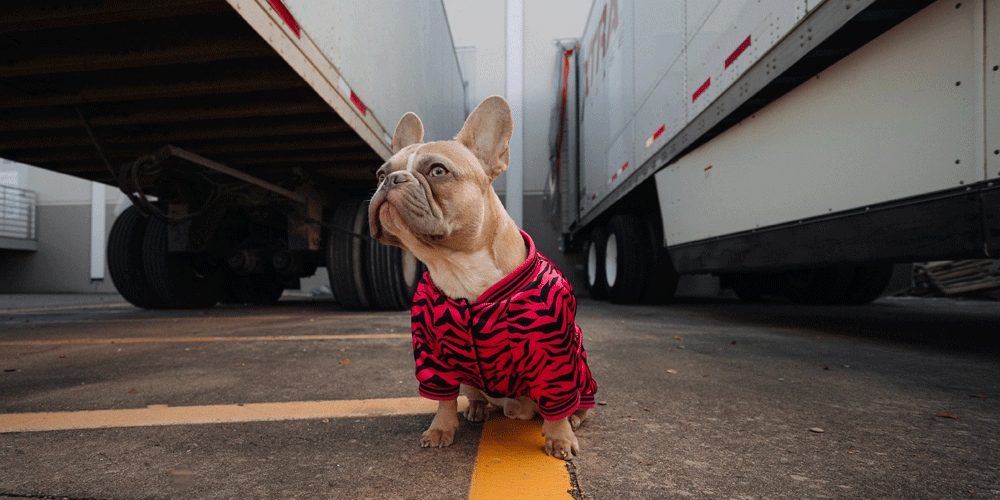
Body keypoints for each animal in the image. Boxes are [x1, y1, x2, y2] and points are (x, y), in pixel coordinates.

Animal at [370, 95, 596, 458]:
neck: (457, 265)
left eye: (437, 171)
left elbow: (556, 400)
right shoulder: (432, 353)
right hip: (468, 377)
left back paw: (575, 417)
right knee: (474, 394)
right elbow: (444, 398)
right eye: (380, 174)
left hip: (583, 372)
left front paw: (560, 437)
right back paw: (476, 408)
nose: (391, 181)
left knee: (578, 401)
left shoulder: (553, 354)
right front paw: (441, 429)